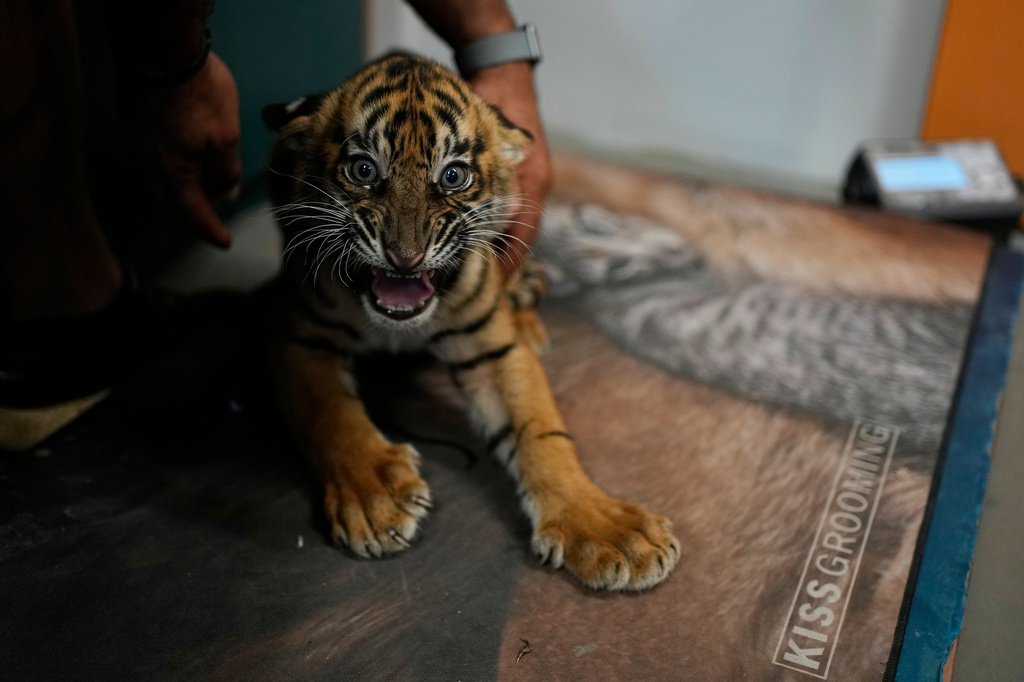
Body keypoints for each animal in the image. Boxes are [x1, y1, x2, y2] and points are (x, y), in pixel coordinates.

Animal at [261, 53, 679, 591]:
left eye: (453, 176)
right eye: (363, 170)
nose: (405, 257)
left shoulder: (491, 348)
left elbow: (543, 434)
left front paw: (606, 528)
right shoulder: (301, 335)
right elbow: (330, 414)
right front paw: (374, 500)